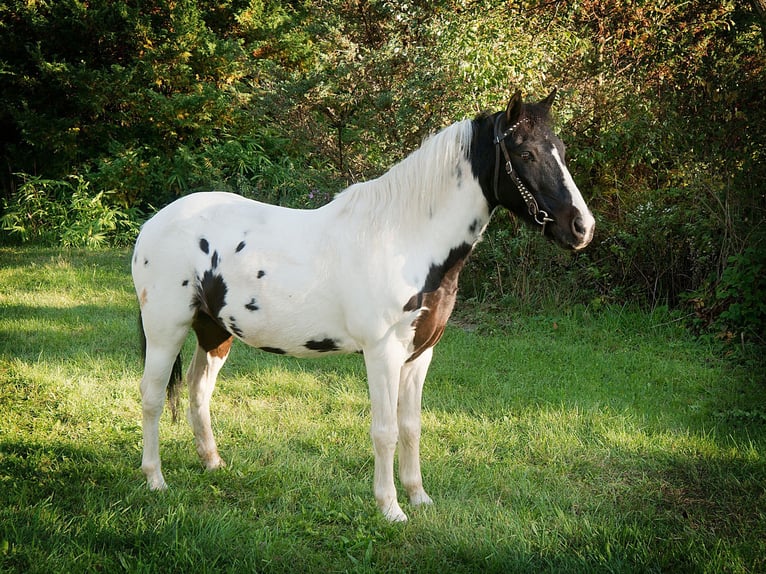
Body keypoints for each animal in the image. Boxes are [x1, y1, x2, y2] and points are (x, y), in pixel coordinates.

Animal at [134, 89, 600, 520]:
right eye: (525, 152)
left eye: (561, 151)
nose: (582, 228)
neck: (405, 240)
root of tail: (154, 222)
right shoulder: (383, 353)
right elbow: (385, 430)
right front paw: (390, 508)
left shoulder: (419, 355)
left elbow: (411, 426)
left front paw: (418, 496)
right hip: (166, 330)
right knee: (153, 395)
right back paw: (155, 480)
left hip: (214, 330)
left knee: (198, 389)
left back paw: (212, 463)